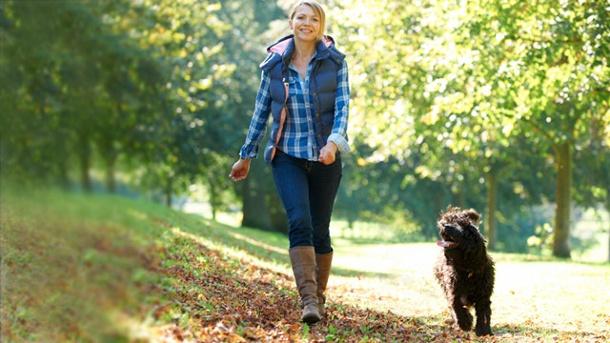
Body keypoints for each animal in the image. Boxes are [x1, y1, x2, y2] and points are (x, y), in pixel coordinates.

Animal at [432, 207, 494, 336]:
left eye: (462, 225)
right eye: (450, 221)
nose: (445, 225)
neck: (467, 269)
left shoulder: (483, 294)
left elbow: (483, 312)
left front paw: (483, 330)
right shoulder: (454, 291)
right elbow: (457, 307)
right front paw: (465, 323)